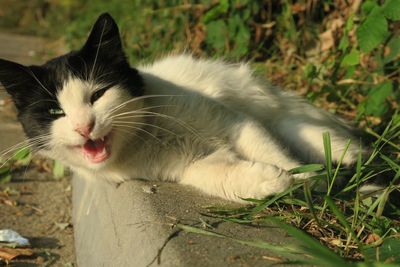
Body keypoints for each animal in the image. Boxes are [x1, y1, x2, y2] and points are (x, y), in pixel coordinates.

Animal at [0, 12, 362, 202]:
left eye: (98, 95)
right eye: (54, 113)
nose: (83, 126)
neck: (147, 136)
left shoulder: (235, 122)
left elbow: (270, 150)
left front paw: (305, 177)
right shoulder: (188, 165)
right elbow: (217, 176)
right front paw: (276, 181)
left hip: (291, 122)